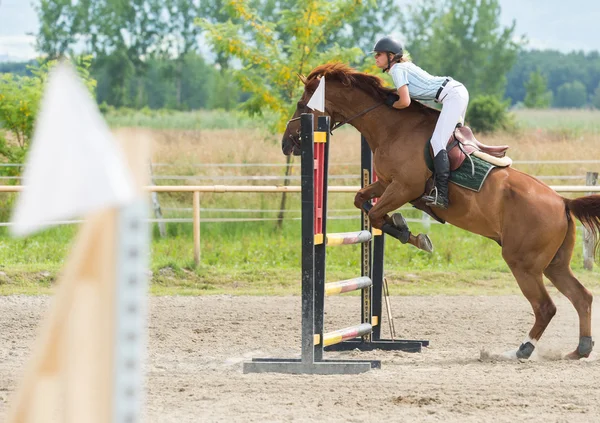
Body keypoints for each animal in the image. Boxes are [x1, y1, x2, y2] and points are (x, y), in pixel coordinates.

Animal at [282, 62, 600, 362]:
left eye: (301, 104)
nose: (287, 144)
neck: (391, 128)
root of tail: (562, 201)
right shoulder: (386, 183)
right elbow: (362, 200)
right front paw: (405, 229)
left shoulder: (404, 187)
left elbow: (374, 215)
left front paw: (410, 234)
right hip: (553, 264)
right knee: (582, 297)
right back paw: (579, 350)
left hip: (523, 263)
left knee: (546, 307)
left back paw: (519, 351)